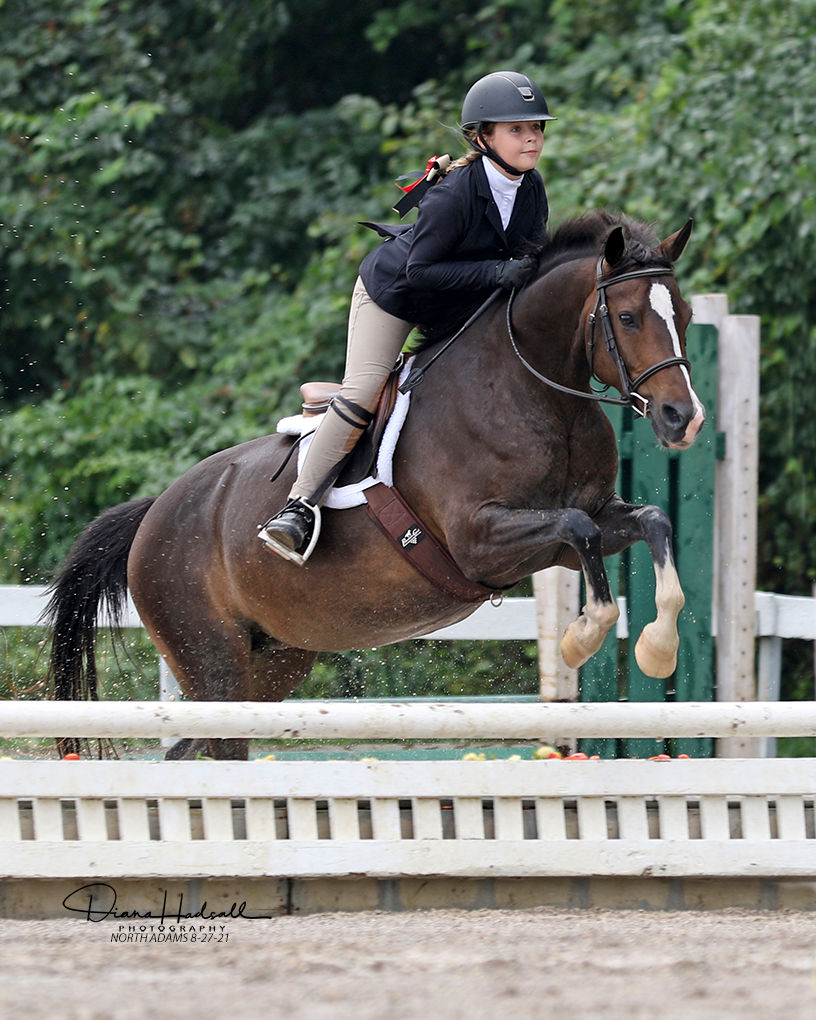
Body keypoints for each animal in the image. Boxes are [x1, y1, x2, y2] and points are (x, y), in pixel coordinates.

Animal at [45, 211, 704, 759]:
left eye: (686, 317)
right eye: (627, 318)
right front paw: (583, 637)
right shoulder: (481, 541)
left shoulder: (568, 537)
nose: (683, 419)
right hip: (213, 661)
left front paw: (658, 646)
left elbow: (646, 521)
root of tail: (155, 512)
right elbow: (579, 525)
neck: (537, 394)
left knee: (190, 751)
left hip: (273, 661)